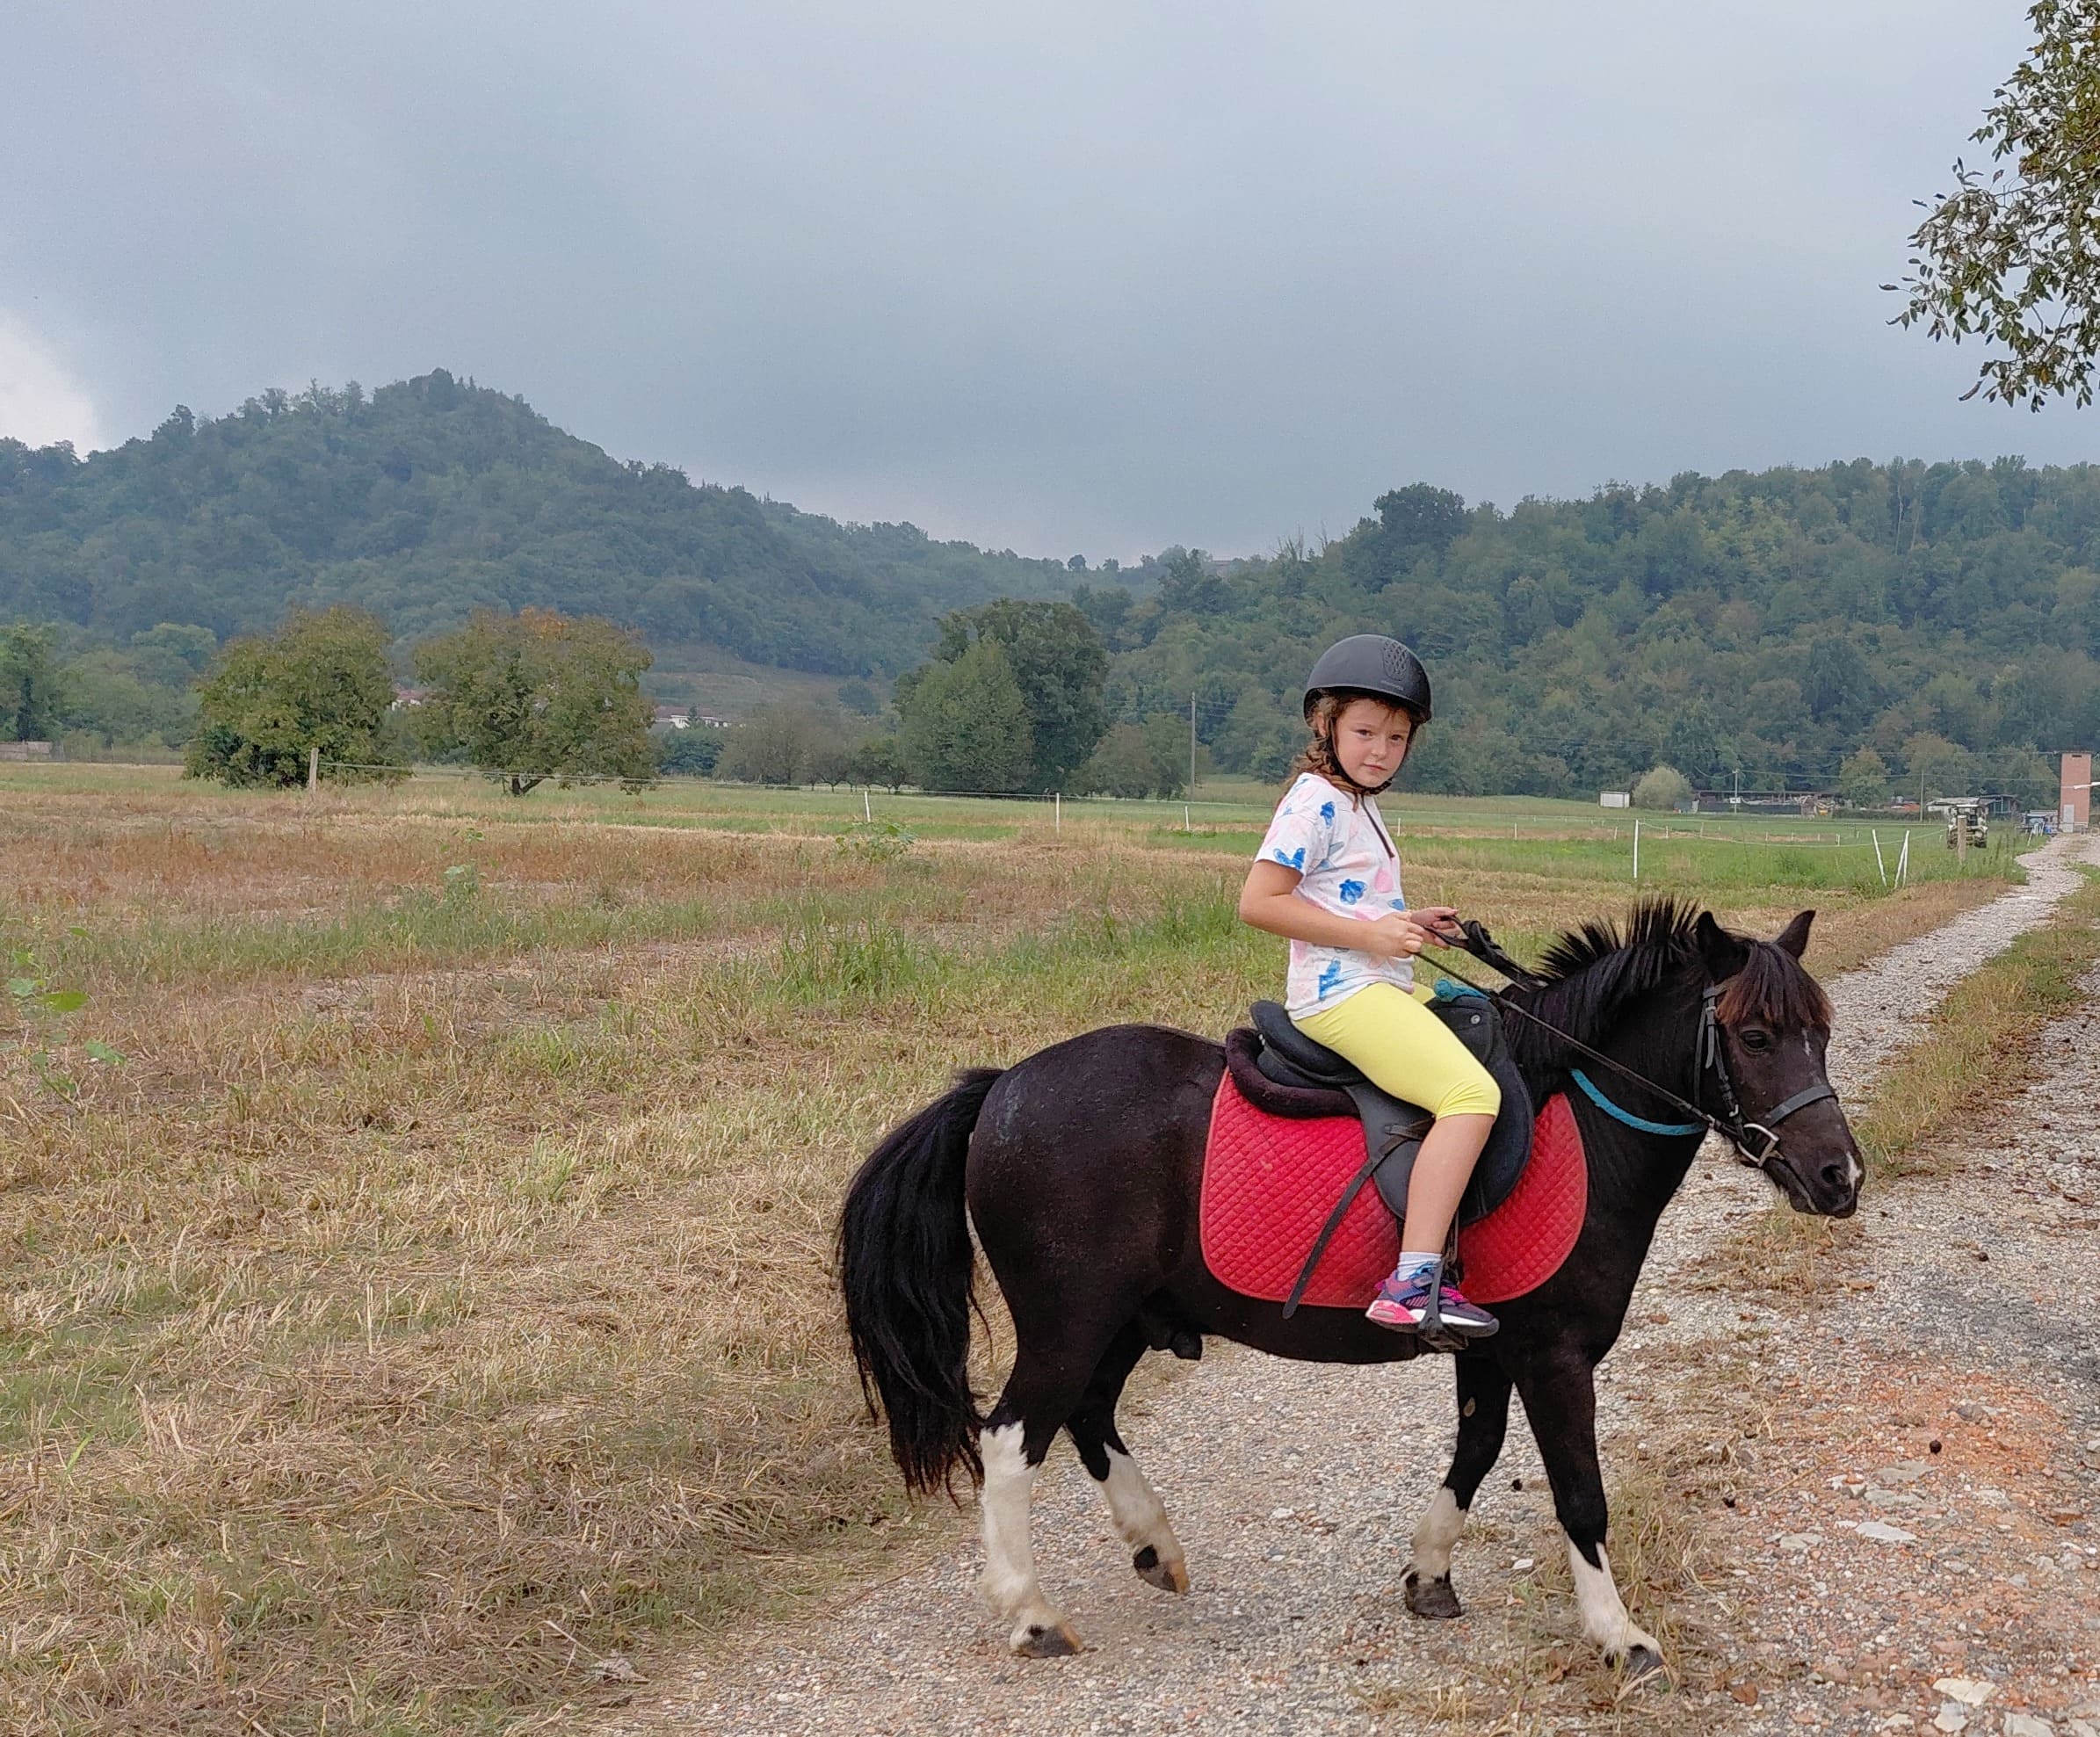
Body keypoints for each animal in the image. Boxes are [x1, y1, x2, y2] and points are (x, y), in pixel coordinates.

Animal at [838, 901, 1861, 1678]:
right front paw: (1619, 1636)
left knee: (1088, 1416)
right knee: (1013, 1440)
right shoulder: (1556, 1356)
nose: (1840, 1176)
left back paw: (1154, 1546)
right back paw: (1032, 1612)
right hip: (1068, 1319)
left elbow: (1475, 1451)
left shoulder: (1491, 1344)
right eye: (1755, 1035)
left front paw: (1429, 1574)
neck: (1575, 1115)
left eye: (1822, 1033)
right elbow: (1579, 1495)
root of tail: (1003, 1086)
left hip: (1121, 1317)